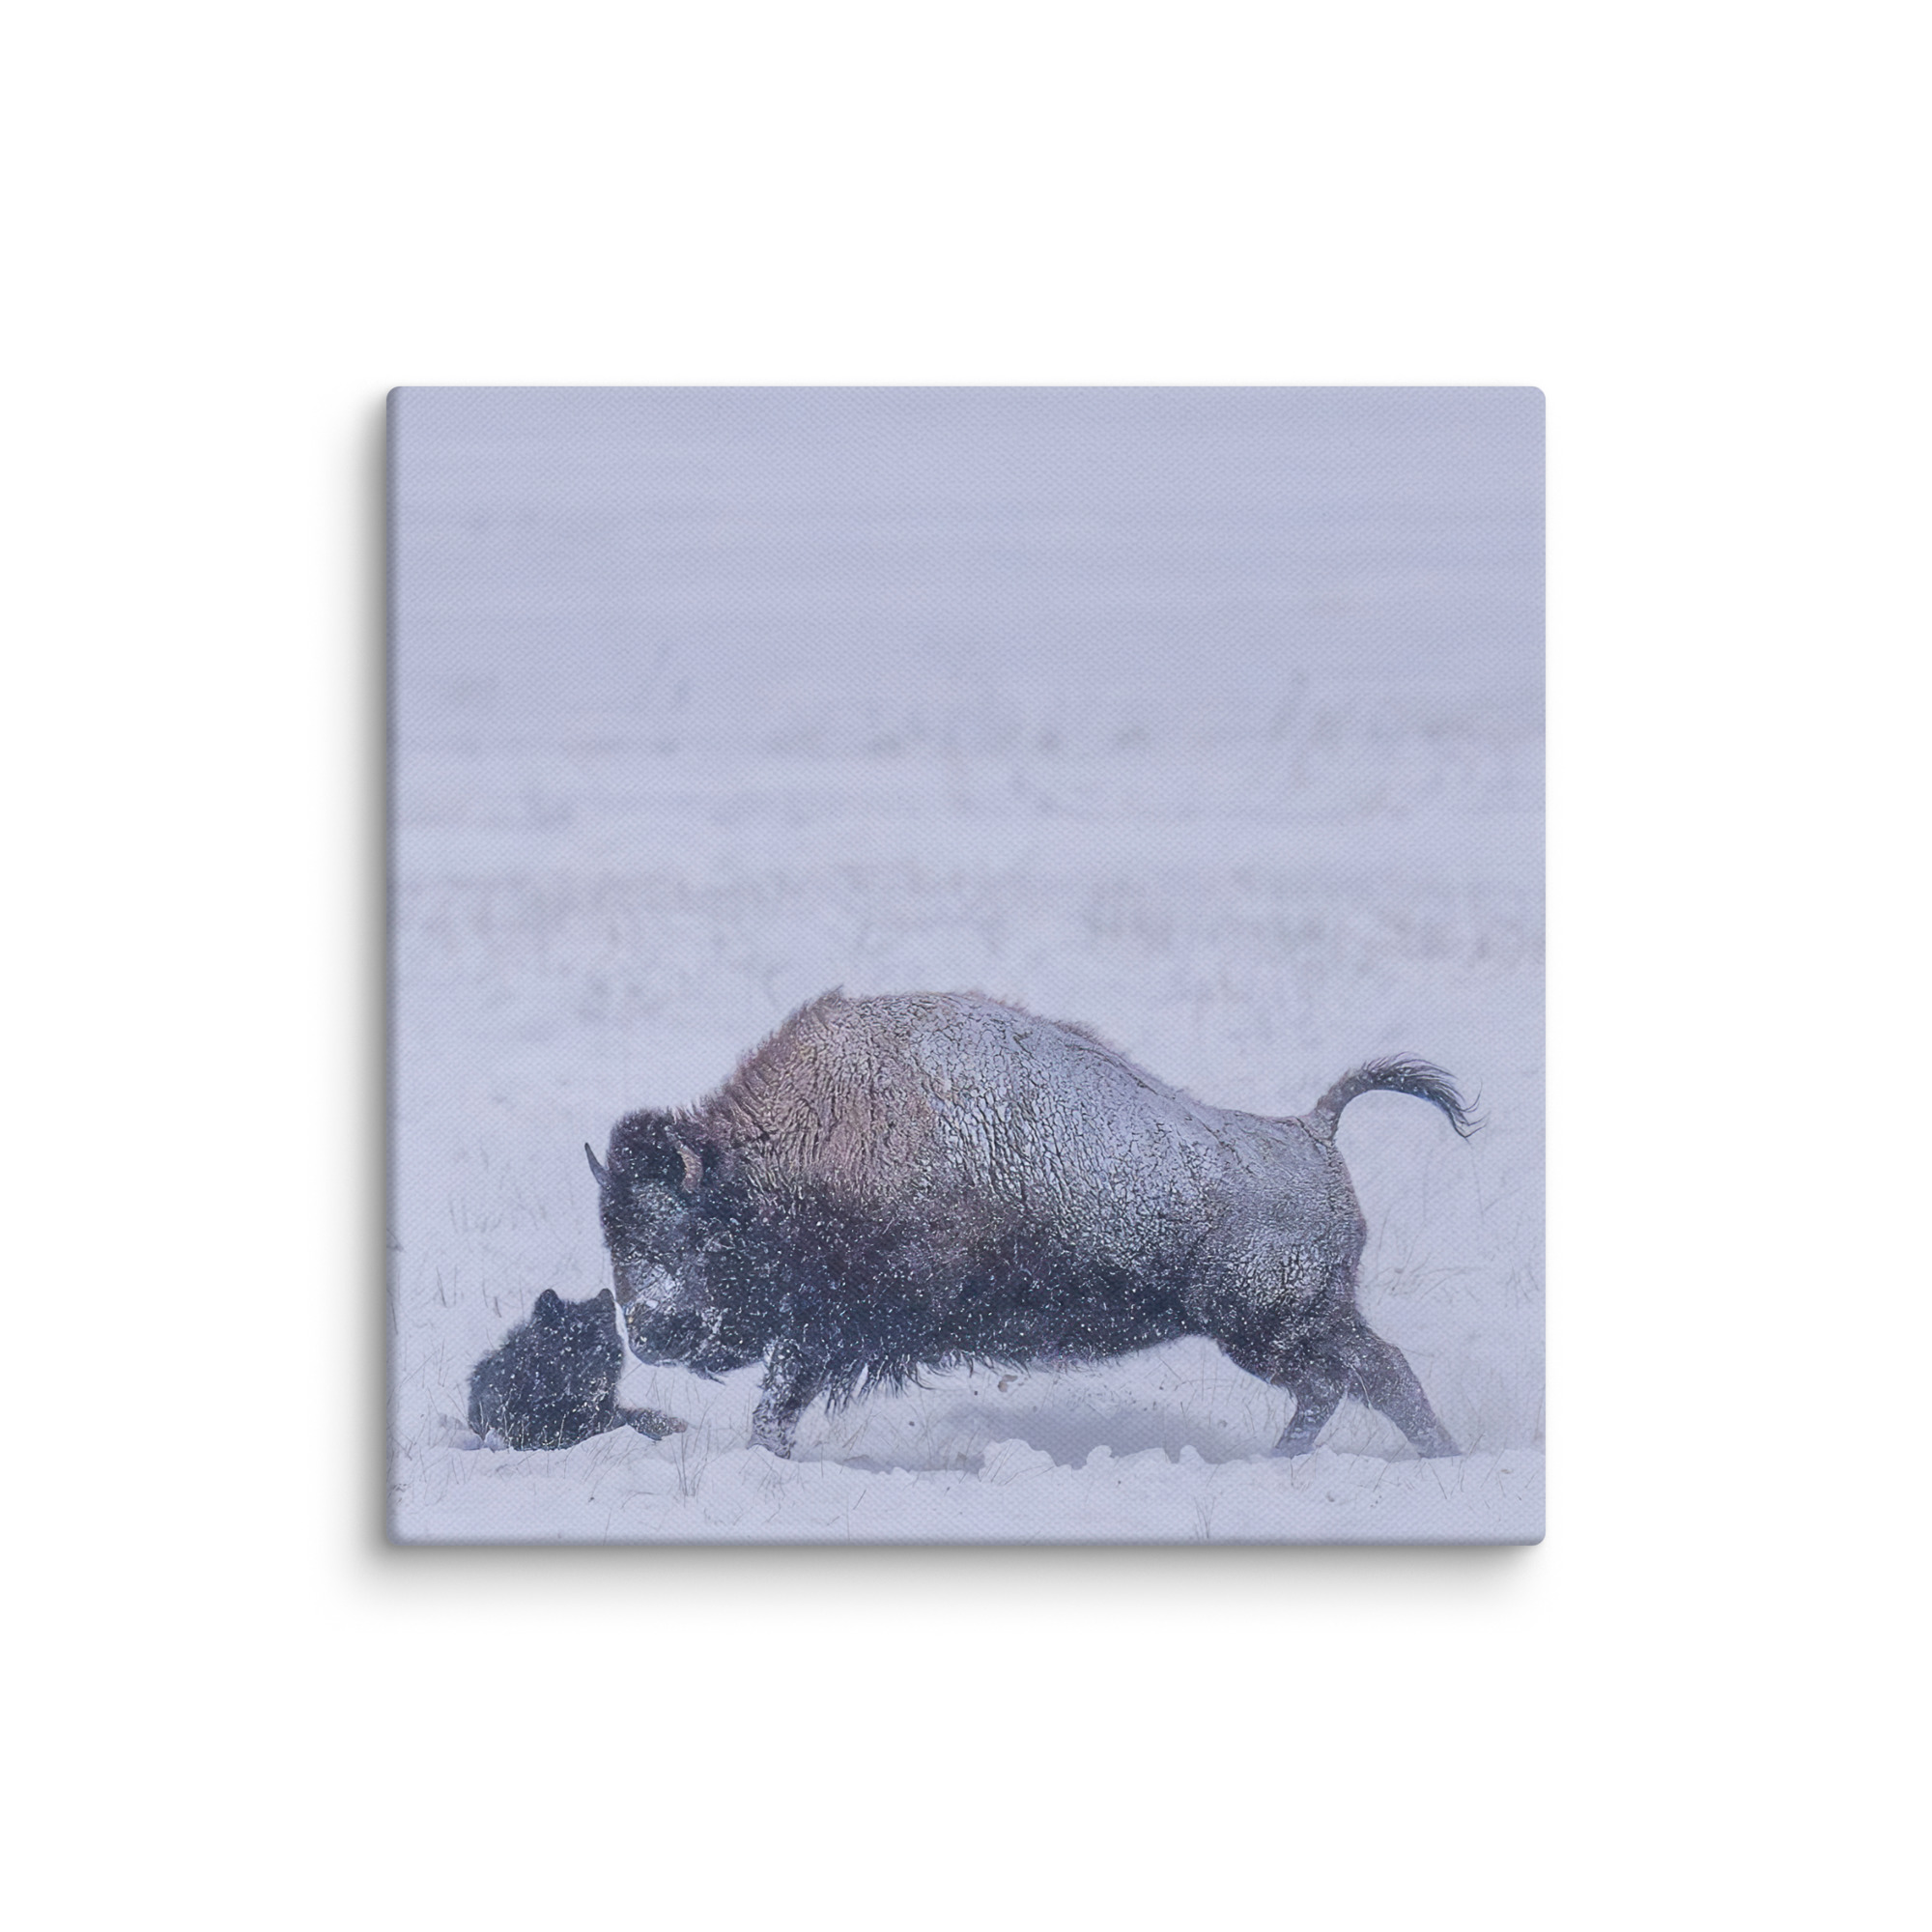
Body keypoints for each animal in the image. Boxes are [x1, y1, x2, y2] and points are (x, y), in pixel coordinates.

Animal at [582, 991, 1476, 1460]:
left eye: (687, 1234)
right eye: (613, 1236)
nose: (649, 1331)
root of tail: (1310, 1130)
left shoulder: (832, 1332)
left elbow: (777, 1402)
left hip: (1271, 1327)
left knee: (1357, 1376)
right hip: (1291, 1325)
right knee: (1360, 1378)